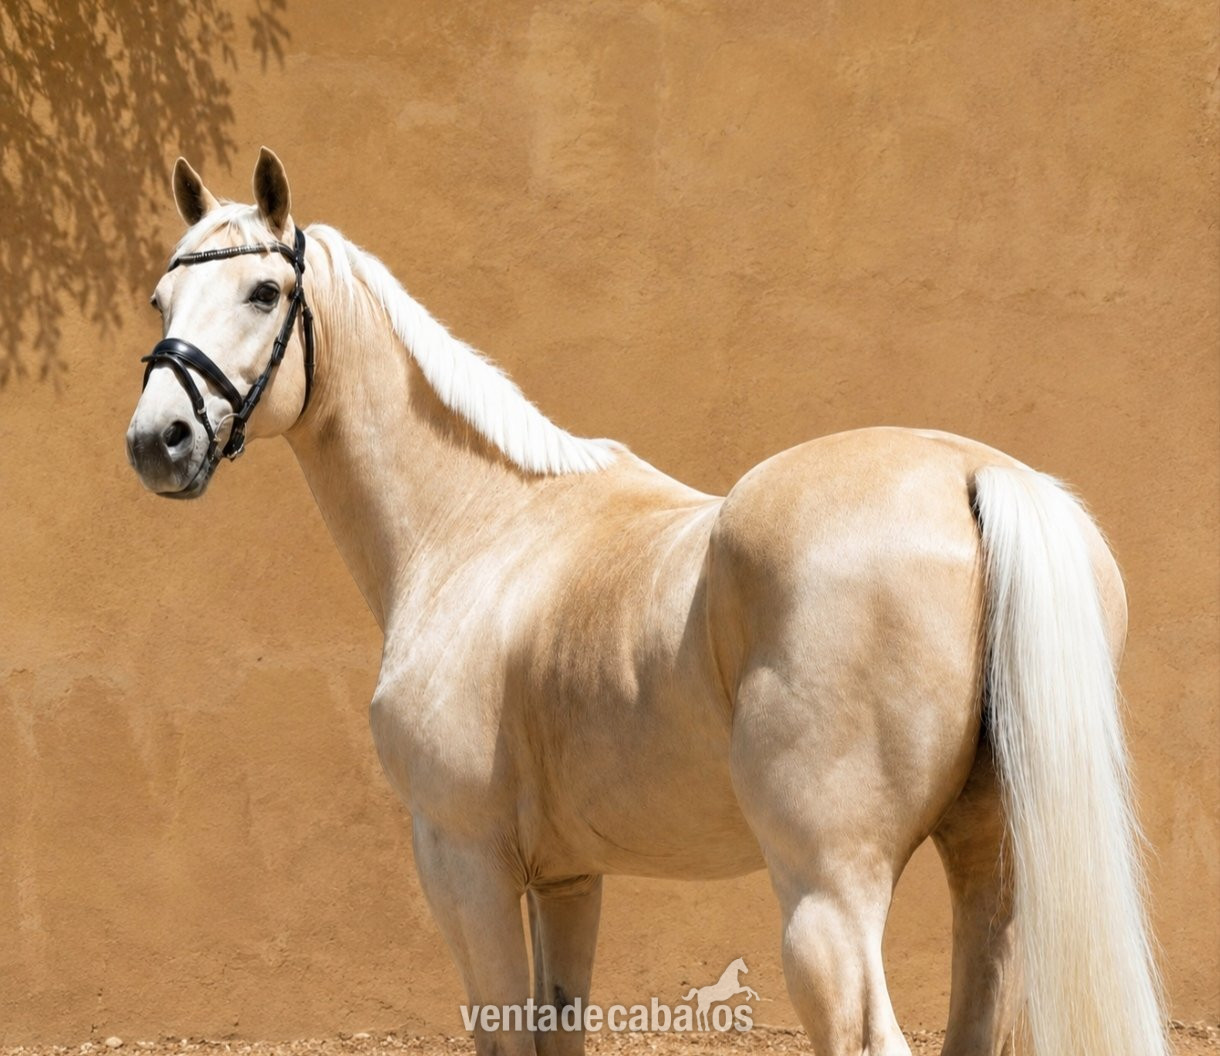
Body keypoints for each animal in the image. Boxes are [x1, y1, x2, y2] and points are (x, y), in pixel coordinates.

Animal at [125, 148, 1167, 1056]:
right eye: (162, 299)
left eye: (264, 292)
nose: (157, 441)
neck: (481, 530)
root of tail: (971, 473)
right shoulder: (567, 879)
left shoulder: (464, 864)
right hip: (989, 876)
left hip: (826, 900)